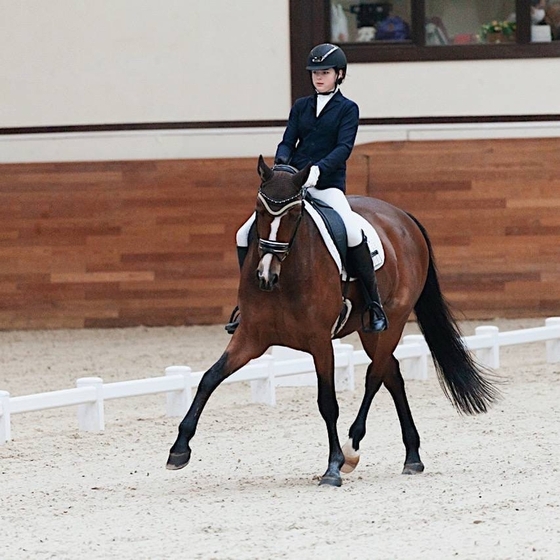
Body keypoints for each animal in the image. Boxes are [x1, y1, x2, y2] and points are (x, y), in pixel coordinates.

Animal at [167, 154, 498, 486]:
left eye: (294, 213)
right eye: (259, 211)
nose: (265, 276)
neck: (286, 276)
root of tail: (402, 216)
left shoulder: (320, 341)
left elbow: (327, 402)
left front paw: (333, 467)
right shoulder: (251, 336)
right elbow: (209, 379)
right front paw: (179, 450)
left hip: (394, 319)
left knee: (375, 376)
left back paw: (353, 449)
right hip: (369, 331)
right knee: (392, 374)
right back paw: (412, 457)